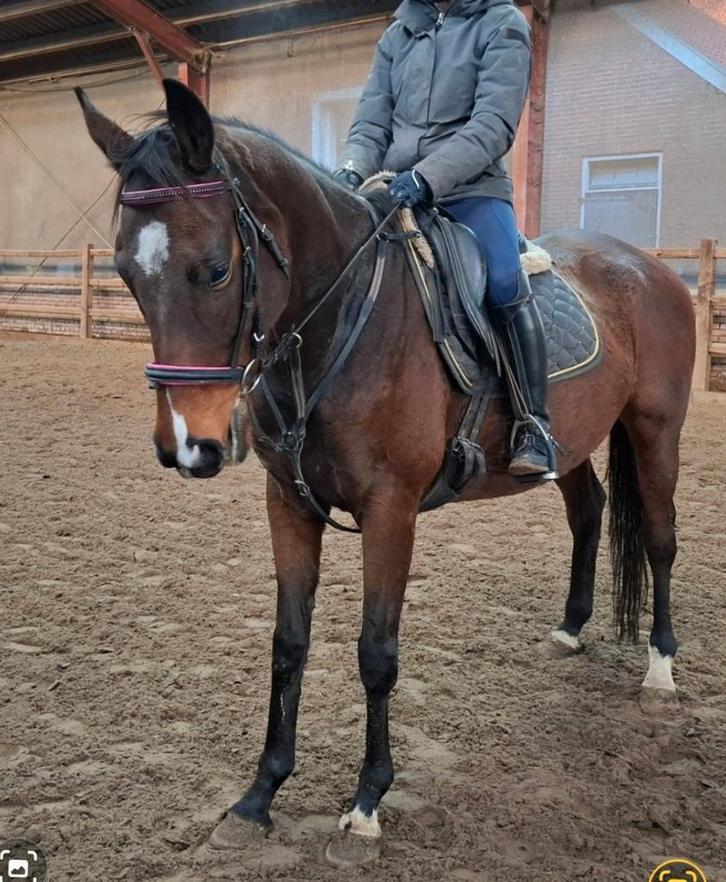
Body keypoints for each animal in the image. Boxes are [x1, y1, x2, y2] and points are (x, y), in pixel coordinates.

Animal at [76, 79, 695, 865]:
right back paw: (570, 629)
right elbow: (288, 644)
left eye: (215, 267)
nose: (189, 446)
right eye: (126, 272)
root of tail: (650, 267)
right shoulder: (289, 505)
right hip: (576, 442)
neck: (339, 322)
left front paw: (367, 802)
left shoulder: (390, 511)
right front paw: (260, 794)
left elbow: (377, 653)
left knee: (661, 540)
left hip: (655, 430)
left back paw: (661, 668)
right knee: (589, 514)